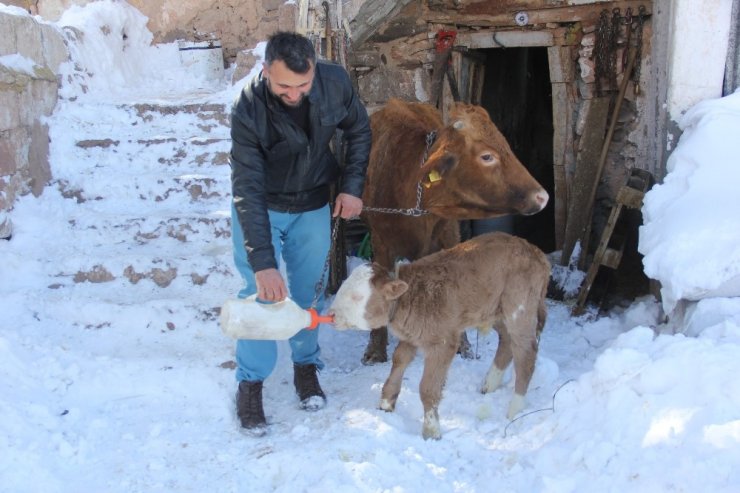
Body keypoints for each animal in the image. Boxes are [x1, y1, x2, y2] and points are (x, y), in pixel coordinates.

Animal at [330, 233, 548, 440]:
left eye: (357, 297)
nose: (331, 314)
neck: (409, 297)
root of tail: (536, 252)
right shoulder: (411, 336)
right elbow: (399, 359)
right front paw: (386, 403)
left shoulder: (443, 342)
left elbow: (427, 388)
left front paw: (431, 430)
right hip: (495, 309)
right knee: (507, 340)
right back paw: (489, 385)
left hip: (519, 305)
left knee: (526, 353)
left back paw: (515, 410)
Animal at [362, 98, 548, 364]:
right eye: (487, 156)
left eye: (506, 146)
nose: (542, 196)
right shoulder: (381, 245)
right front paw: (376, 350)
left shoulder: (449, 239)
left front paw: (463, 345)